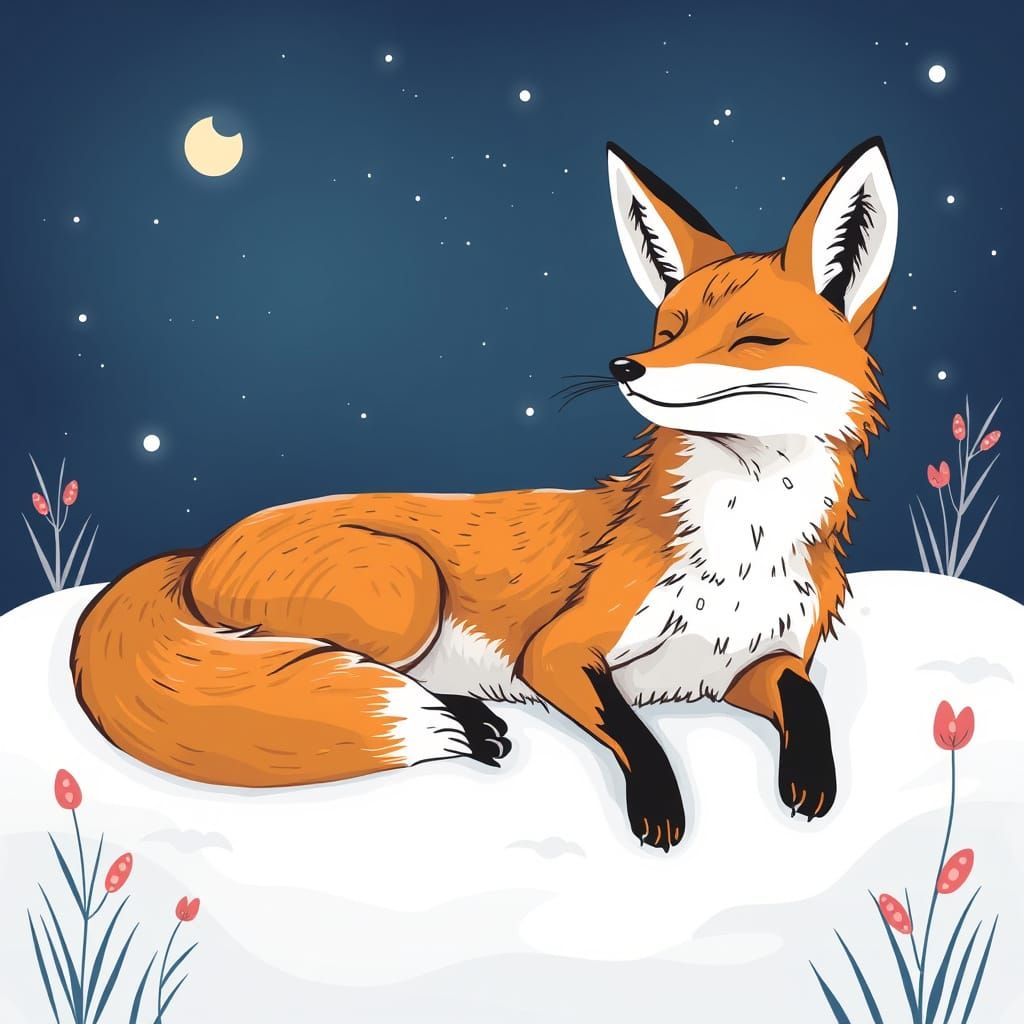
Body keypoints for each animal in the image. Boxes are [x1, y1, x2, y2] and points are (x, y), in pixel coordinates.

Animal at [71, 137, 897, 852]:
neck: (742, 549)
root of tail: (198, 547)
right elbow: (633, 729)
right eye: (669, 329)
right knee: (287, 670)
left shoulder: (753, 663)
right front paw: (658, 804)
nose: (626, 366)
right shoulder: (558, 651)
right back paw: (457, 718)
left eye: (754, 341)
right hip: (405, 593)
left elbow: (809, 704)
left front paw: (813, 781)